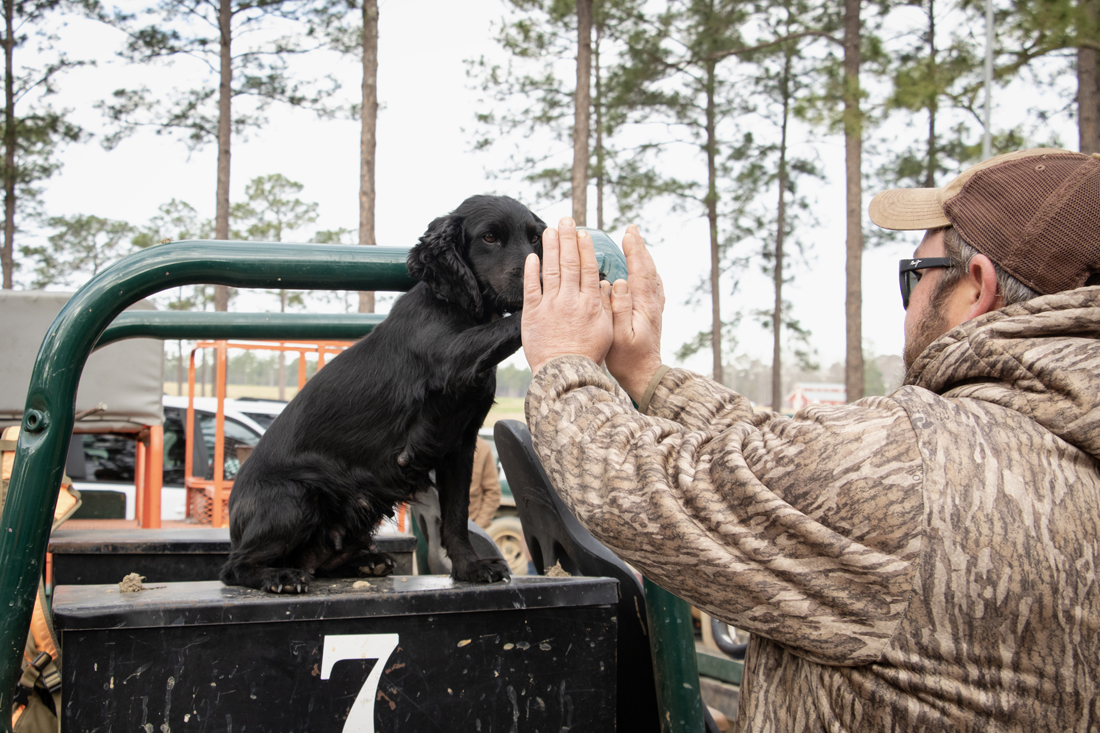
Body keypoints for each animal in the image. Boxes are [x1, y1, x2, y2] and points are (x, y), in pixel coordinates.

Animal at [222, 195, 545, 594]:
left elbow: (456, 517)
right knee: (234, 567)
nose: (538, 275)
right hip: (296, 498)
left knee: (319, 563)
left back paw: (366, 562)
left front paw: (469, 568)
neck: (453, 306)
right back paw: (279, 576)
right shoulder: (449, 356)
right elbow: (514, 322)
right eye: (489, 237)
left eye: (534, 238)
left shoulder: (460, 445)